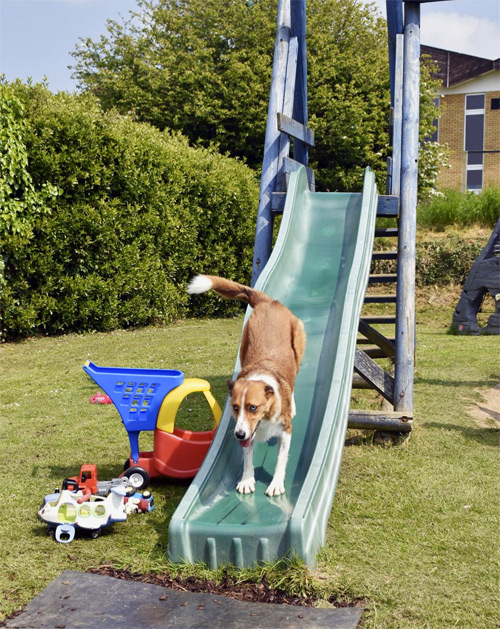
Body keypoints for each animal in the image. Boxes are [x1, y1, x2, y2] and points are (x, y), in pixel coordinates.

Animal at [187, 274, 304, 496]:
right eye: (234, 407)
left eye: (253, 407)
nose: (238, 434)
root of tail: (268, 302)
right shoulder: (247, 433)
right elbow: (248, 458)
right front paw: (247, 480)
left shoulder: (286, 431)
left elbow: (280, 460)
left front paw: (276, 484)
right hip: (244, 343)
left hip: (298, 346)